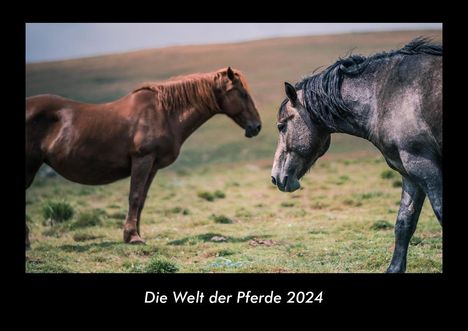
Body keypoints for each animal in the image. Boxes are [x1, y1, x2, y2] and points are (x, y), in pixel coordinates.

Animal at [25, 66, 262, 245]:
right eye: (242, 94)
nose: (256, 127)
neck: (163, 113)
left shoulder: (153, 166)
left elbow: (142, 200)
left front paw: (134, 234)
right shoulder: (143, 160)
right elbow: (135, 196)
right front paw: (133, 237)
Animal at [270, 37, 442, 274]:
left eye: (281, 126)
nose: (275, 177)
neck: (386, 94)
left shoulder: (425, 168)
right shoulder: (411, 173)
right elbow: (404, 223)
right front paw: (394, 268)